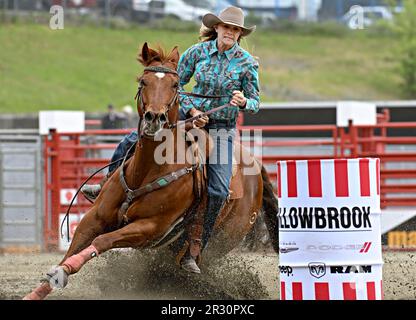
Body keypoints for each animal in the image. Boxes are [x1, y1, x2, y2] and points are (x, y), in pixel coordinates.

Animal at [22, 43, 276, 300]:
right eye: (143, 81)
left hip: (220, 241)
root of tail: (256, 165)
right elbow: (75, 246)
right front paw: (39, 290)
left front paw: (65, 270)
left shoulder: (149, 228)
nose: (155, 118)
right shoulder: (95, 217)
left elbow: (102, 241)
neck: (147, 171)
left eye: (174, 85)